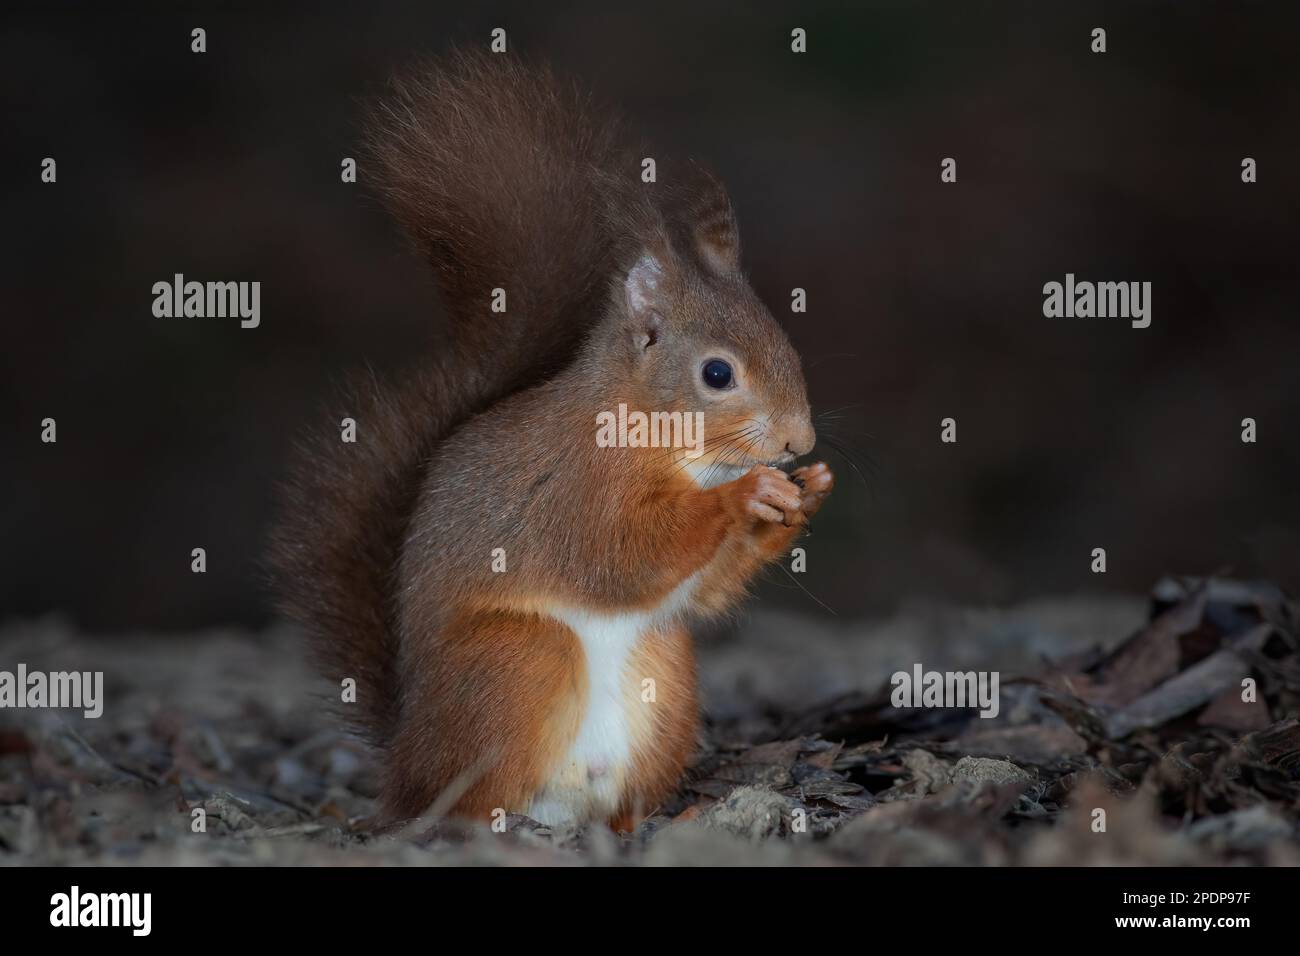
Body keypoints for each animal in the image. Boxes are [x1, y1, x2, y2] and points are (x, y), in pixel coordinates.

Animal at [269, 50, 832, 832]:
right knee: (467, 791)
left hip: (667, 672)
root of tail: (406, 755)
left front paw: (804, 497)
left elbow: (707, 589)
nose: (797, 441)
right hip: (518, 658)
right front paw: (749, 494)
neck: (658, 436)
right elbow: (622, 554)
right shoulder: (574, 487)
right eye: (717, 373)